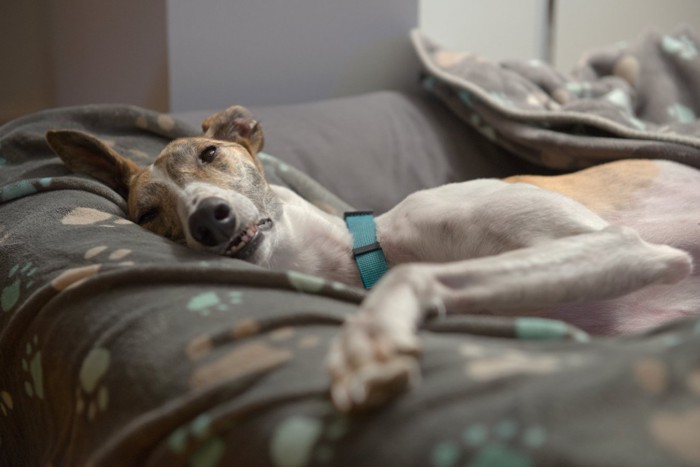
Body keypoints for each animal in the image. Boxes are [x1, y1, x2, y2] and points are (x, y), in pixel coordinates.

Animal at [46, 104, 696, 412]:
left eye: (208, 153)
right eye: (147, 213)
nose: (210, 220)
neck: (370, 244)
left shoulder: (617, 242)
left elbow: (410, 275)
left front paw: (368, 349)